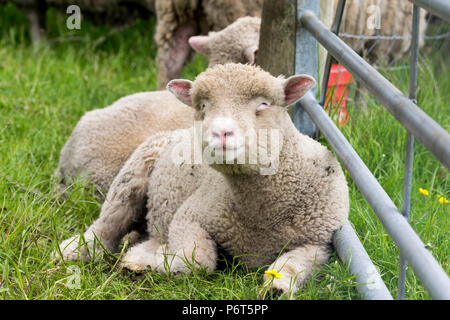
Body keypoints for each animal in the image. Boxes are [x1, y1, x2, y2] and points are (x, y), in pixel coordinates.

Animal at [57, 63, 352, 298]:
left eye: (264, 104)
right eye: (202, 107)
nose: (220, 132)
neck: (261, 217)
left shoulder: (318, 243)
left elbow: (290, 266)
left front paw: (276, 288)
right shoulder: (191, 215)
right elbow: (199, 261)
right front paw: (163, 262)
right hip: (130, 178)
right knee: (107, 226)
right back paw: (75, 251)